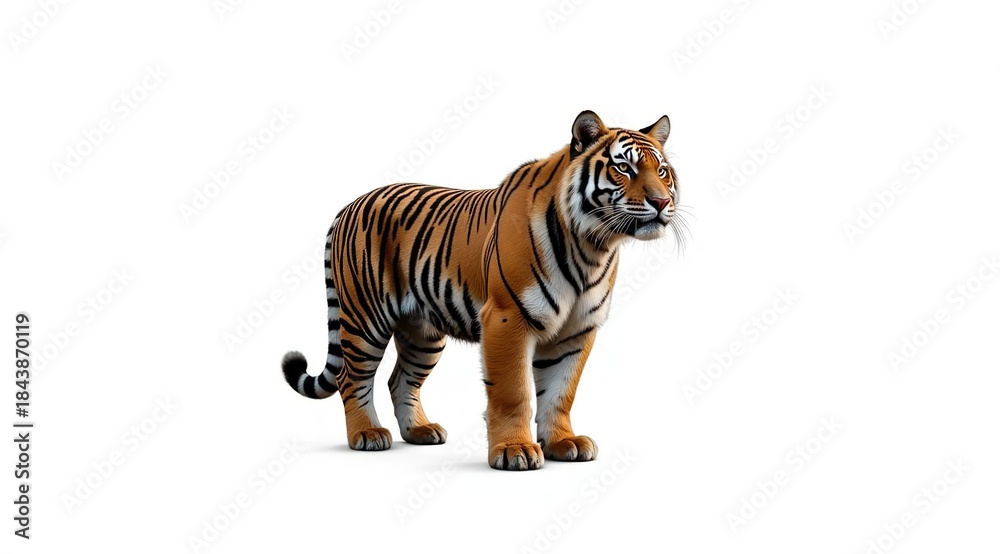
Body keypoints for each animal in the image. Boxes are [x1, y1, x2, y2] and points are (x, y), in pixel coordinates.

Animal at [281, 110, 685, 470]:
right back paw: (367, 435)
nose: (662, 202)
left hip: (423, 333)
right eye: (624, 168)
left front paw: (563, 443)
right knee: (352, 377)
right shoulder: (508, 318)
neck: (593, 247)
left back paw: (420, 431)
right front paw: (515, 450)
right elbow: (512, 391)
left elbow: (561, 392)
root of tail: (350, 205)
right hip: (364, 319)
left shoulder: (577, 331)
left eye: (662, 171)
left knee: (400, 380)